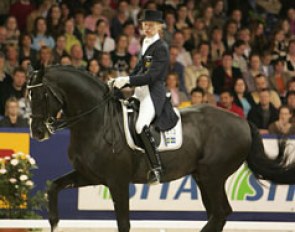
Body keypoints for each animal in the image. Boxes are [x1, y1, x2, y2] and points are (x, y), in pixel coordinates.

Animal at [27, 65, 295, 232]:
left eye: (40, 95)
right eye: (27, 97)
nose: (37, 132)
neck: (95, 121)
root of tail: (242, 121)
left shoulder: (117, 181)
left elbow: (123, 222)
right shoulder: (90, 176)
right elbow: (53, 186)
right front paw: (54, 222)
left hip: (213, 175)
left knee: (219, 212)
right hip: (203, 176)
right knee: (218, 214)